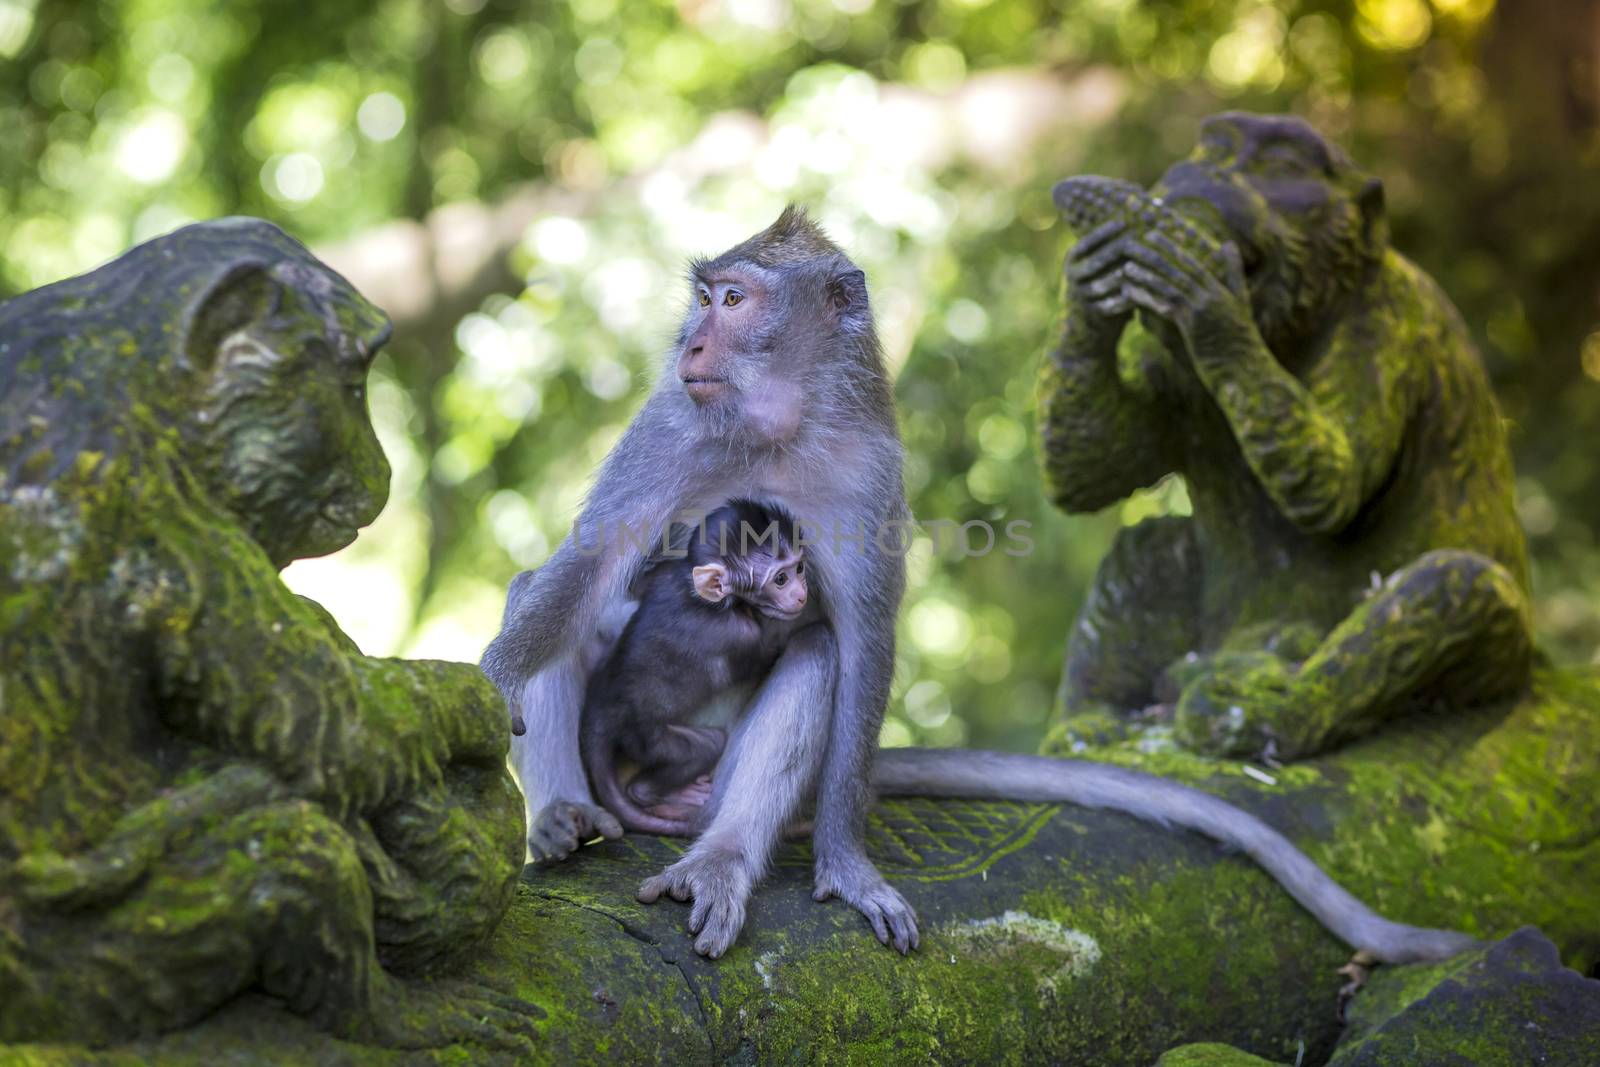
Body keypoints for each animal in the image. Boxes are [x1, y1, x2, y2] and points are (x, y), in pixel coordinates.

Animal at [582, 505, 812, 838]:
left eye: (799, 568)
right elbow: (766, 656)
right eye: (780, 579)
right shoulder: (742, 636)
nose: (801, 594)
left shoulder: (665, 575)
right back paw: (655, 792)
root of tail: (600, 713)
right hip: (644, 737)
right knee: (705, 746)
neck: (701, 598)